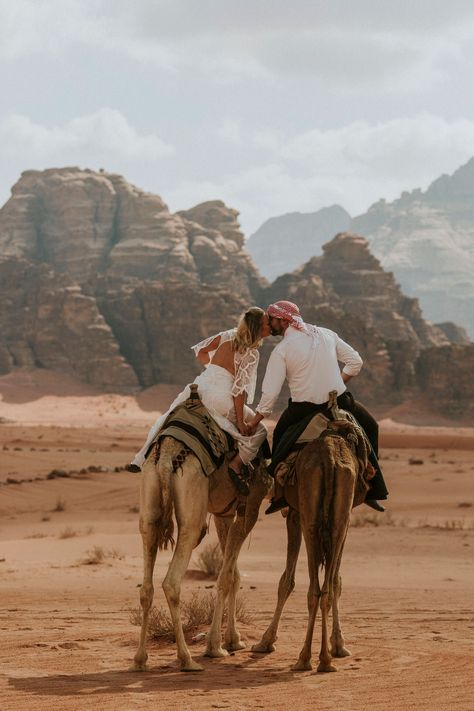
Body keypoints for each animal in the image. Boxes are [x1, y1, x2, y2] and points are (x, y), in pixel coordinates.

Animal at [131, 434, 270, 672]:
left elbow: (234, 575)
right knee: (171, 582)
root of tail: (166, 459)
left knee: (146, 587)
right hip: (192, 514)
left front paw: (233, 639)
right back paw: (187, 659)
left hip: (148, 509)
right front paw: (215, 647)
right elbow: (226, 577)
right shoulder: (249, 506)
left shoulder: (225, 513)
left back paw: (140, 660)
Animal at [252, 420, 370, 676]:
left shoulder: (294, 515)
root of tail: (331, 458)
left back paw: (305, 658)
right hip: (338, 520)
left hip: (310, 520)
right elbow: (336, 582)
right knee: (326, 589)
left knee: (314, 589)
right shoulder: (345, 524)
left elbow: (286, 581)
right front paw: (339, 645)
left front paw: (265, 641)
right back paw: (325, 659)